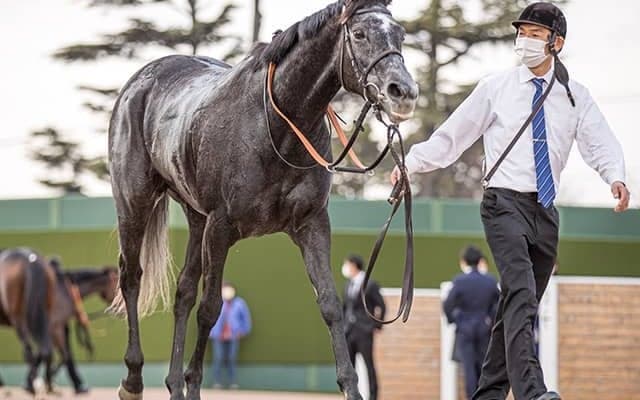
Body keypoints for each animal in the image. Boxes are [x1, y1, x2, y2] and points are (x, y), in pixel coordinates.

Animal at [107, 0, 417, 399]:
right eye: (360, 34)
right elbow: (211, 309)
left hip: (195, 218)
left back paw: (173, 385)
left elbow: (330, 304)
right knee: (131, 277)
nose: (403, 92)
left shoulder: (311, 223)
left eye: (401, 35)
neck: (276, 125)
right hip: (134, 202)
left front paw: (351, 387)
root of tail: (140, 82)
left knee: (183, 292)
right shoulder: (221, 226)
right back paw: (133, 380)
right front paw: (194, 383)